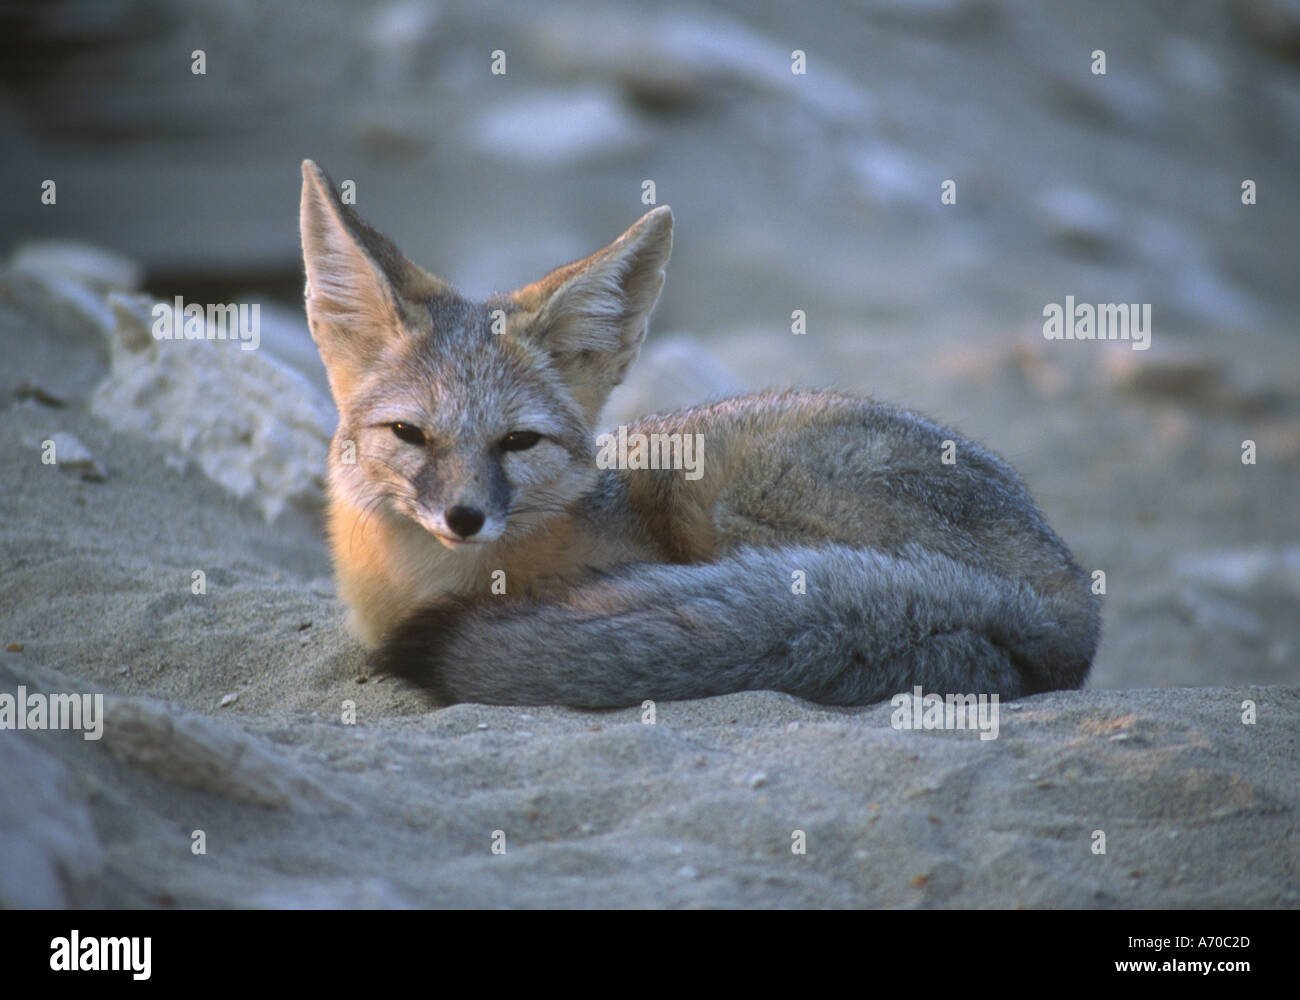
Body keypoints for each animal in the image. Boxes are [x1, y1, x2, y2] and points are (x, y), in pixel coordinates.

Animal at [299, 159, 1100, 708]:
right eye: (409, 433)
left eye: (518, 443)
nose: (463, 518)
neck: (421, 586)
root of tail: (1070, 601)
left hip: (731, 494)